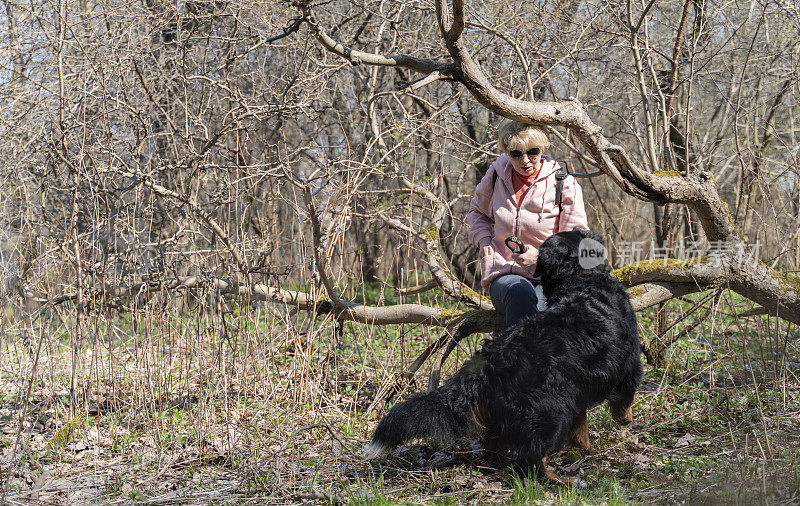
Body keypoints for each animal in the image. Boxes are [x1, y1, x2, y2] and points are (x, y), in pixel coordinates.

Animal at [364, 229, 644, 482]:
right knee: (531, 459)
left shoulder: (579, 388)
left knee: (494, 444)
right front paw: (626, 420)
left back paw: (500, 462)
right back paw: (557, 479)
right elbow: (624, 400)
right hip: (551, 411)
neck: (581, 279)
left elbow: (581, 427)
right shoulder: (628, 366)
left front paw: (585, 448)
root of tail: (488, 363)